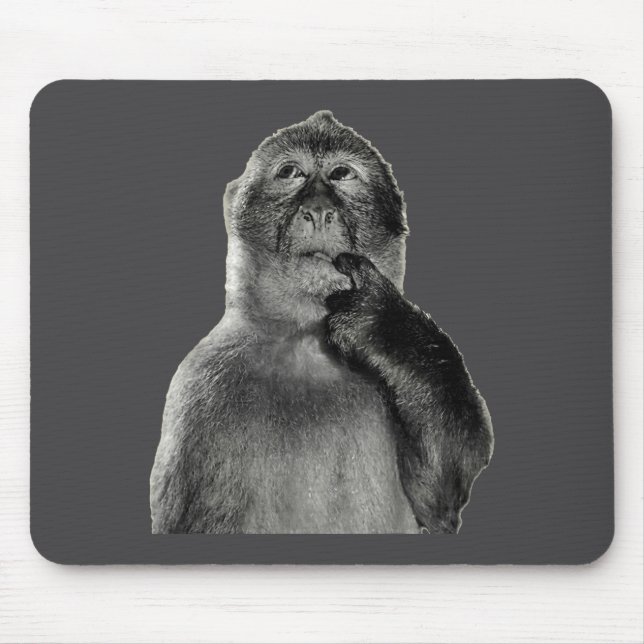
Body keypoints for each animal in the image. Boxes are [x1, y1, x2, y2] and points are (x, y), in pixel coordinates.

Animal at [150, 110, 493, 534]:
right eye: (290, 172)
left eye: (342, 173)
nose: (317, 211)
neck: (305, 341)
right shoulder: (200, 390)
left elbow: (441, 498)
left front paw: (383, 322)